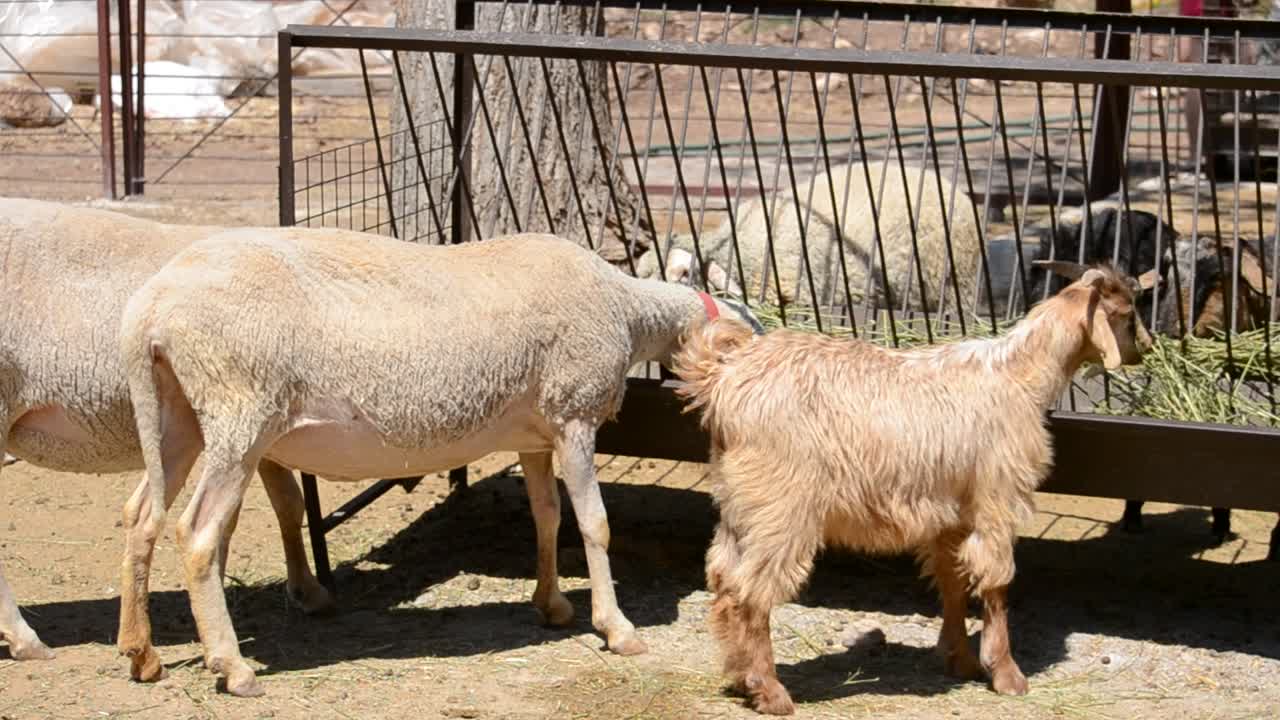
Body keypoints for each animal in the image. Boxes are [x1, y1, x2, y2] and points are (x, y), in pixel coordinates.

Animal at [116, 228, 762, 696]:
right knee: (197, 533)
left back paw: (142, 653)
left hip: (181, 416)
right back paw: (232, 667)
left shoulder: (534, 435)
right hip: (239, 409)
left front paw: (551, 605)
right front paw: (617, 628)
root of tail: (150, 311)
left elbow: (548, 517)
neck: (626, 309)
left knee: (141, 516)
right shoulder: (573, 414)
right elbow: (594, 524)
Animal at [672, 261, 1153, 715]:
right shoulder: (998, 496)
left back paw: (739, 677)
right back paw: (769, 691)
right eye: (1127, 312)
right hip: (782, 505)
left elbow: (953, 579)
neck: (1020, 374)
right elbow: (996, 580)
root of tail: (724, 379)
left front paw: (961, 660)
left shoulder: (951, 513)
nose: (1146, 348)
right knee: (751, 590)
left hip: (740, 503)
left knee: (723, 578)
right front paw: (1006, 673)